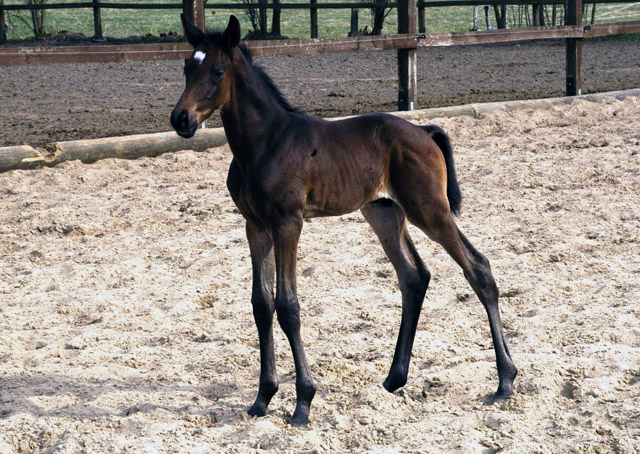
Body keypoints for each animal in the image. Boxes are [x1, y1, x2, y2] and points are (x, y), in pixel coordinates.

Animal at [169, 14, 516, 426]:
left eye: (218, 71)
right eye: (187, 67)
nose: (181, 119)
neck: (265, 143)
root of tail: (424, 130)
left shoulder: (288, 223)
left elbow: (288, 306)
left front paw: (303, 402)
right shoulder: (255, 226)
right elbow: (261, 303)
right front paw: (262, 398)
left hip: (429, 210)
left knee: (478, 268)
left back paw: (505, 381)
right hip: (384, 213)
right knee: (414, 277)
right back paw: (394, 379)